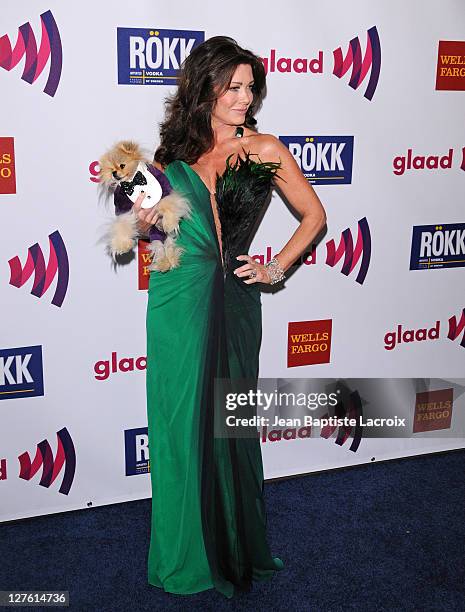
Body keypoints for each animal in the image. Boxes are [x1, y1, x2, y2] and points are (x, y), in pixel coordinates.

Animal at [98, 142, 190, 272]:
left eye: (122, 165)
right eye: (112, 170)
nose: (114, 174)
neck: (132, 181)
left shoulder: (166, 192)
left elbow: (166, 205)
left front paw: (170, 223)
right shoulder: (125, 210)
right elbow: (122, 225)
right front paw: (122, 245)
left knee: (167, 244)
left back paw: (171, 258)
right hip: (154, 233)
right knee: (159, 246)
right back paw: (163, 263)